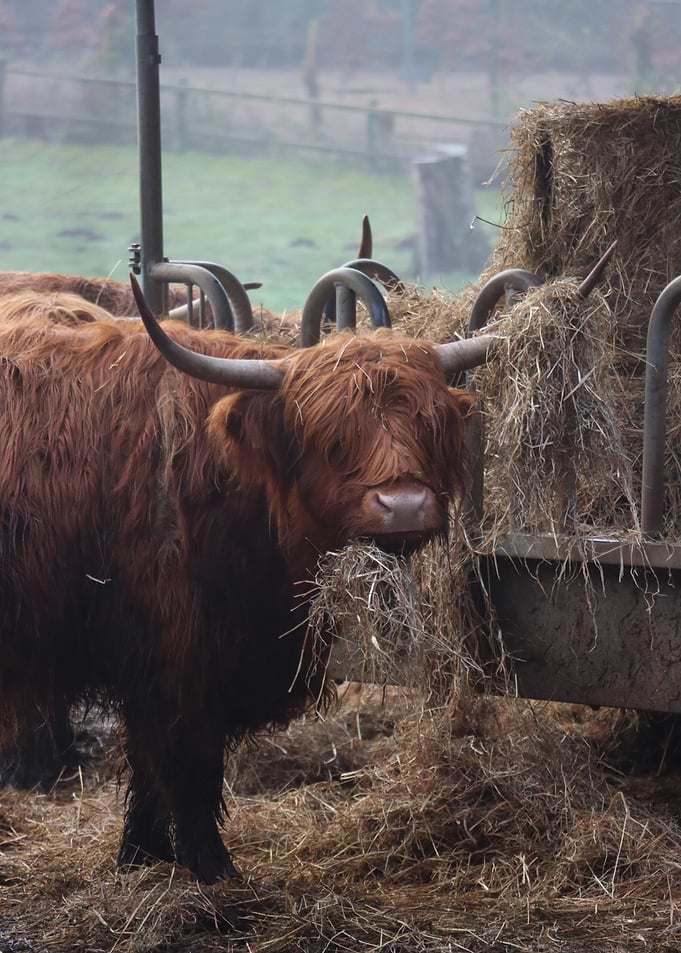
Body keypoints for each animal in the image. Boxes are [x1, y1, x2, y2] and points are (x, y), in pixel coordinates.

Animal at [0, 273, 490, 882]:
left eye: (429, 424)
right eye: (333, 437)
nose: (404, 506)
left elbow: (153, 762)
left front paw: (142, 855)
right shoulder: (177, 653)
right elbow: (186, 758)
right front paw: (211, 866)